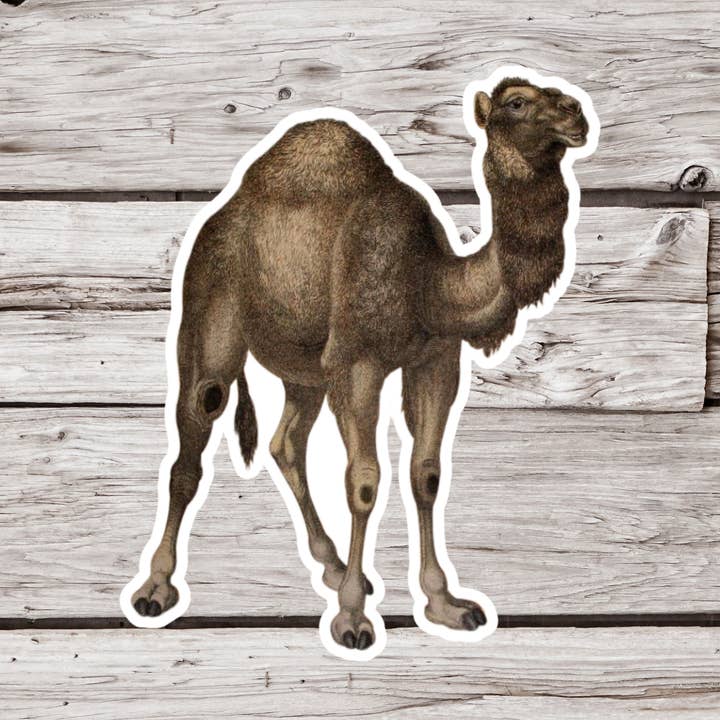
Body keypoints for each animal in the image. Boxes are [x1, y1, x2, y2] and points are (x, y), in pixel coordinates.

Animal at [128, 74, 592, 653]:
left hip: (306, 367)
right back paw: (155, 588)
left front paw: (446, 604)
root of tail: (214, 221)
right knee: (194, 435)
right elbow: (365, 481)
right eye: (516, 103)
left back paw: (331, 566)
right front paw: (352, 619)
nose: (577, 113)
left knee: (286, 443)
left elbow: (427, 474)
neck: (429, 282)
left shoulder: (435, 360)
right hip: (209, 310)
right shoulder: (358, 363)